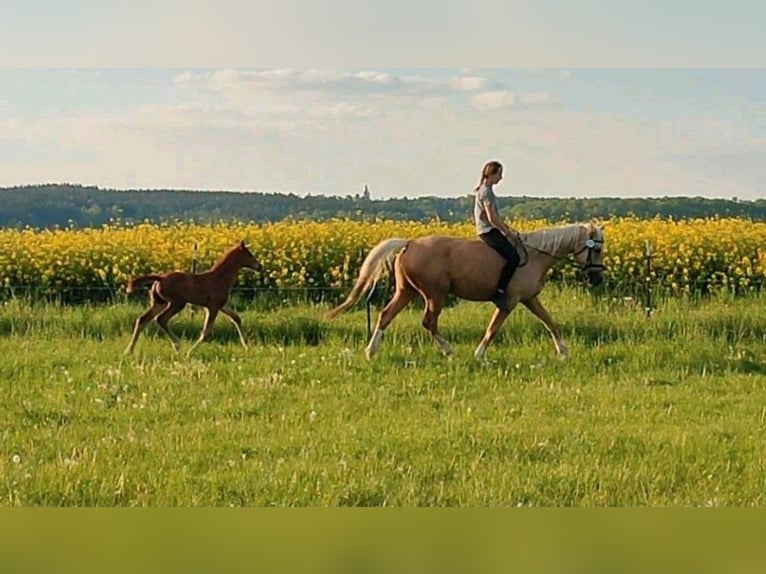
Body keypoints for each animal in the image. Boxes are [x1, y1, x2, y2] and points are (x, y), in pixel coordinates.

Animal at [123, 240, 260, 356]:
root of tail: (160, 278)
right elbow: (206, 331)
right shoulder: (213, 307)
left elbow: (236, 318)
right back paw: (178, 346)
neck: (219, 279)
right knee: (161, 319)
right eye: (249, 254)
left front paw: (247, 347)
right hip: (177, 303)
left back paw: (129, 351)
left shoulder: (222, 305)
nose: (259, 266)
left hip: (160, 302)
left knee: (143, 319)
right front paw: (190, 352)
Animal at [328, 224, 608, 362]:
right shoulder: (509, 302)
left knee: (386, 315)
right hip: (435, 295)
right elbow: (492, 329)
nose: (597, 278)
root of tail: (410, 243)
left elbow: (550, 322)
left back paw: (370, 352)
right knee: (429, 322)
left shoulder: (529, 299)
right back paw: (449, 352)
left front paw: (563, 352)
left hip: (407, 292)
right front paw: (479, 356)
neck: (536, 255)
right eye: (596, 249)